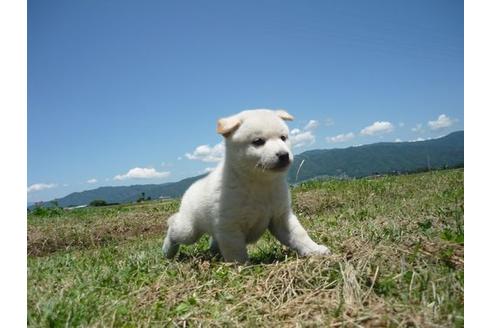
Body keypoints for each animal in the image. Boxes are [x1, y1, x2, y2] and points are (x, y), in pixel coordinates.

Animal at [162, 109, 330, 262]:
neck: (259, 183)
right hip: (189, 230)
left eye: (283, 138)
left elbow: (299, 235)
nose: (284, 155)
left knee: (213, 242)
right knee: (174, 227)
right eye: (258, 141)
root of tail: (191, 187)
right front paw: (243, 268)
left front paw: (315, 249)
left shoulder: (281, 218)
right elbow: (236, 251)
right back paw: (167, 251)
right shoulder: (230, 226)